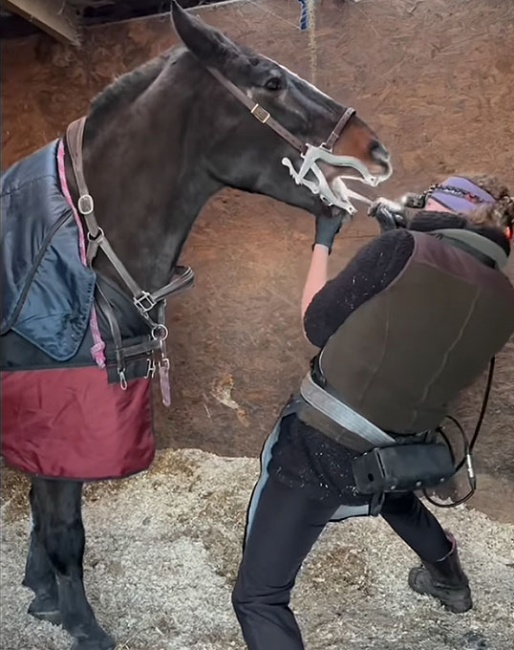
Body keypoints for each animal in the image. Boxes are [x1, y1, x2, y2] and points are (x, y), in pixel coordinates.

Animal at [0, 2, 390, 644]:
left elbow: (44, 508)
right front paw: (83, 625)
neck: (83, 244)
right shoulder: (55, 407)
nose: (377, 152)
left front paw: (43, 595)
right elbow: (62, 526)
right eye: (272, 81)